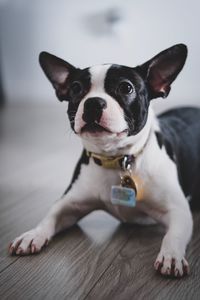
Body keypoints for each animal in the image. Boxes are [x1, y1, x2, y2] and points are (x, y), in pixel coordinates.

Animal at [9, 44, 200, 276]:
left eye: (126, 88)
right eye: (75, 89)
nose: (93, 102)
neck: (115, 159)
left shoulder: (178, 210)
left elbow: (174, 234)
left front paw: (171, 255)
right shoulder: (68, 204)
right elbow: (50, 216)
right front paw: (32, 234)